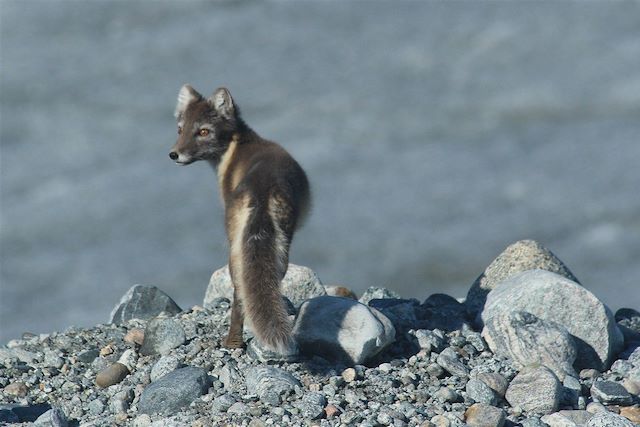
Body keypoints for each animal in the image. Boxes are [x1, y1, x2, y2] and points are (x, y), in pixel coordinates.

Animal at [169, 85, 308, 352]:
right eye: (180, 129)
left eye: (203, 131)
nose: (174, 154)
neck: (236, 147)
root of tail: (261, 189)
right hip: (282, 245)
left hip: (235, 247)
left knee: (239, 291)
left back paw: (232, 342)